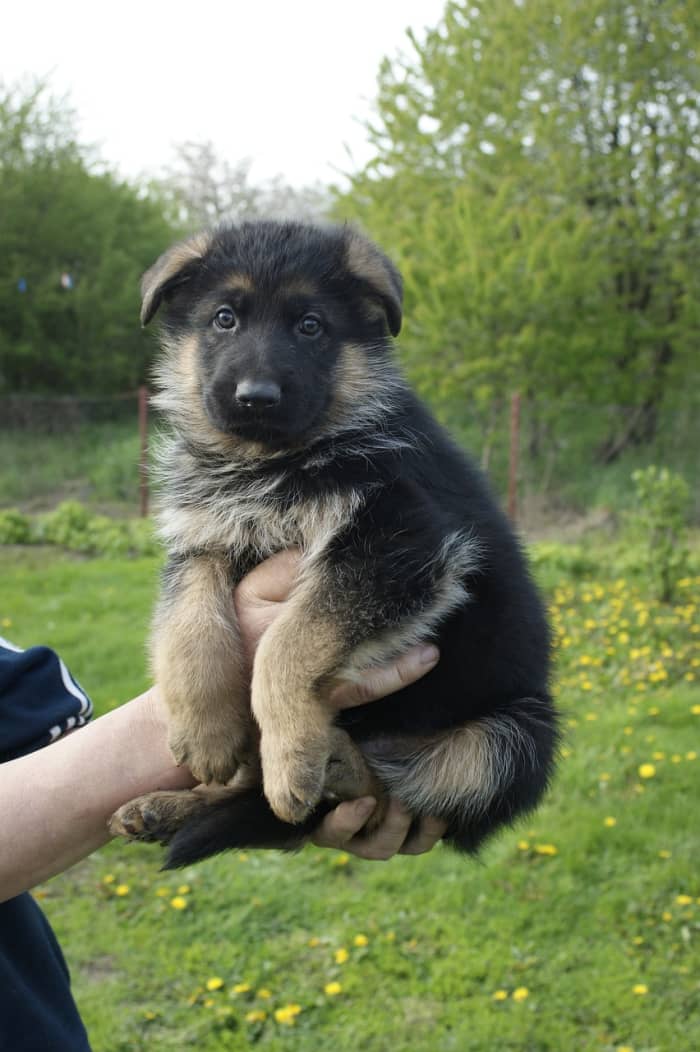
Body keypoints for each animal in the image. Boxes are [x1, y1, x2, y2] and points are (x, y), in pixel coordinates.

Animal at [109, 219, 555, 862]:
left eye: (310, 326)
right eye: (224, 318)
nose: (256, 396)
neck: (271, 460)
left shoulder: (404, 542)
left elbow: (289, 641)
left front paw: (294, 755)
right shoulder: (206, 536)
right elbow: (187, 618)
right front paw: (203, 726)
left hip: (516, 740)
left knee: (398, 792)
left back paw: (337, 764)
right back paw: (168, 807)